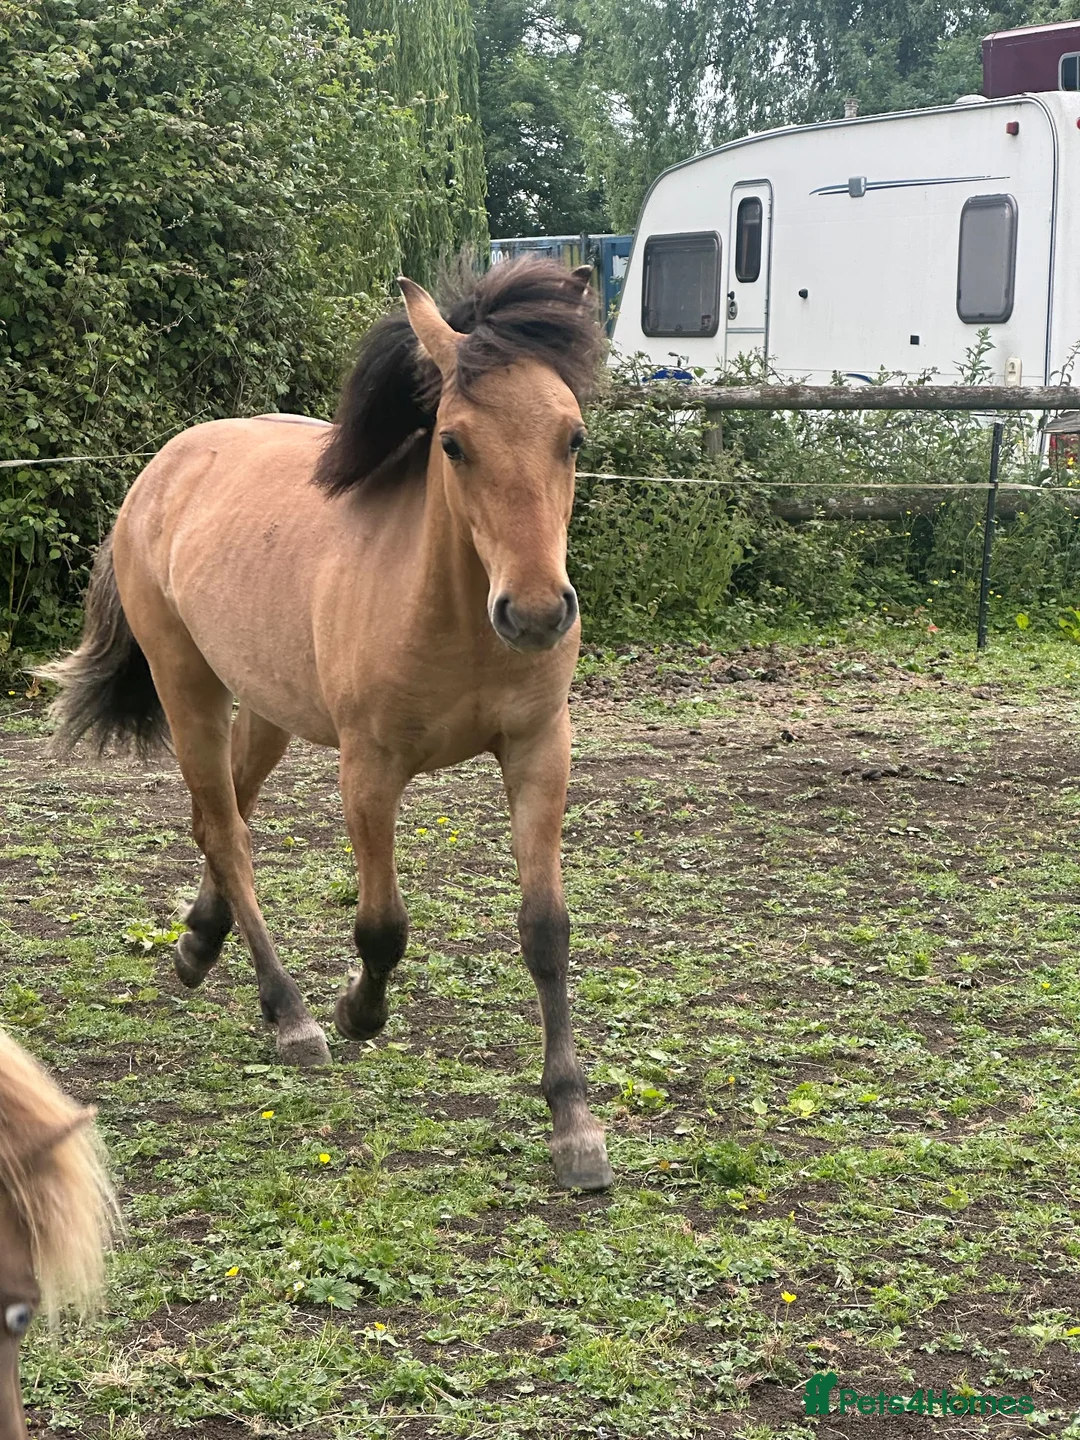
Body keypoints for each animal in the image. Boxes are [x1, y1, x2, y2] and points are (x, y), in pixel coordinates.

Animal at [42, 258, 614, 1191]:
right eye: (452, 443)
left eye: (573, 438)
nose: (533, 614)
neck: (453, 615)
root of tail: (164, 466)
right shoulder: (369, 769)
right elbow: (382, 926)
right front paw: (354, 1011)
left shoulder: (539, 753)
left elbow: (546, 930)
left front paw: (573, 1121)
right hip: (188, 684)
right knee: (228, 833)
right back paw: (290, 1013)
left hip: (266, 709)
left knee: (219, 819)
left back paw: (197, 946)